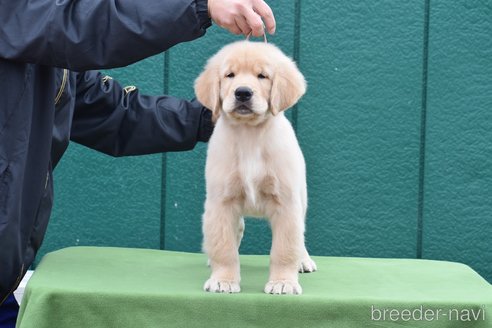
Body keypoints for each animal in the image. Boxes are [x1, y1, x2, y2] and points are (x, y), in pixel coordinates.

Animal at [195, 41, 316, 294]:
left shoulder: (286, 202)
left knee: (300, 235)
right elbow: (224, 247)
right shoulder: (221, 202)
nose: (242, 92)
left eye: (263, 76)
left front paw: (283, 282)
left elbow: (285, 248)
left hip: (301, 197)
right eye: (229, 75)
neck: (249, 133)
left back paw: (304, 260)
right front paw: (223, 279)